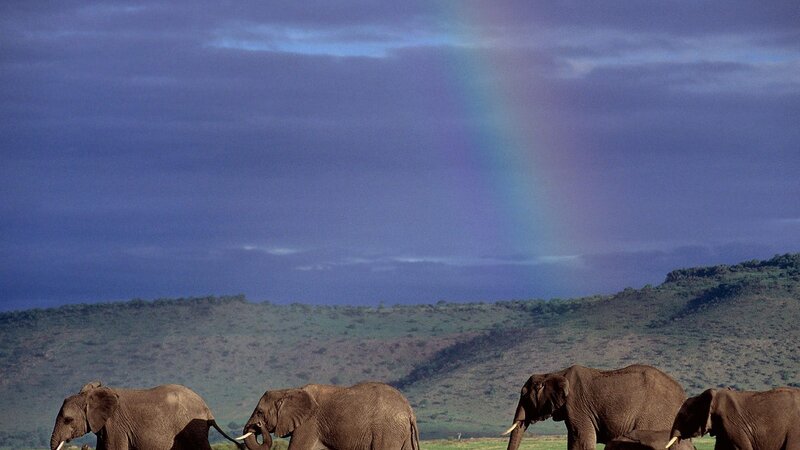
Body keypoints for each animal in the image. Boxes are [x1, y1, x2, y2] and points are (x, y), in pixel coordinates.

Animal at [239, 382, 419, 450]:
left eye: (260, 412)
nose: (258, 425)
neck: (288, 391)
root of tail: (409, 411)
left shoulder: (309, 423)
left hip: (387, 432)